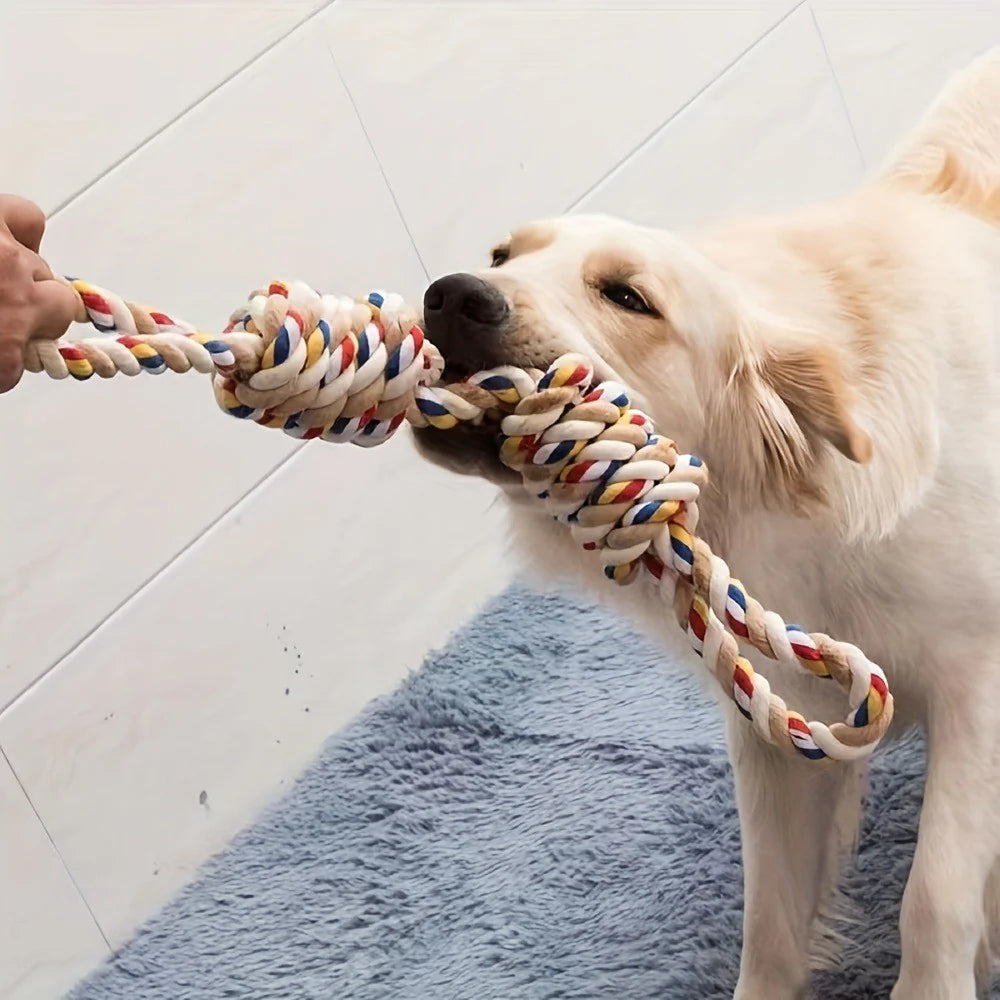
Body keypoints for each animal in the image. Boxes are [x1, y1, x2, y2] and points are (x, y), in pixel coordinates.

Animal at [412, 48, 1000, 1000]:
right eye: (501, 254)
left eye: (626, 295)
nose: (452, 295)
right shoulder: (778, 722)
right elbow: (771, 921)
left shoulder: (977, 678)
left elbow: (936, 895)